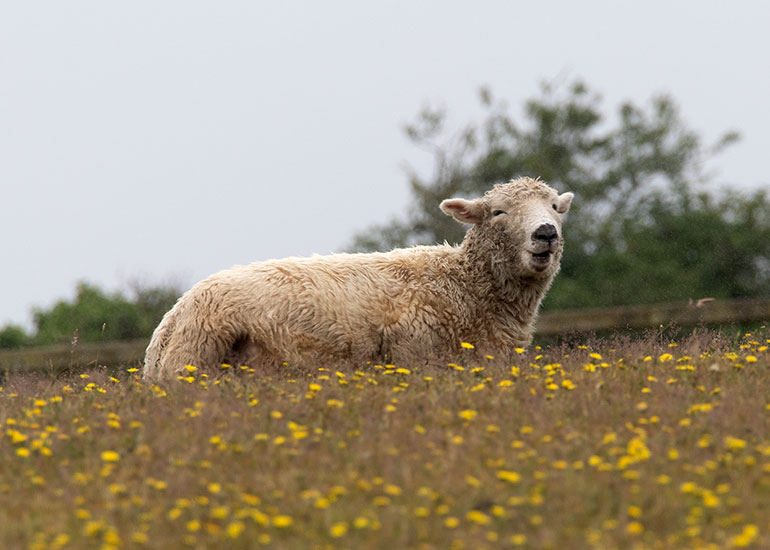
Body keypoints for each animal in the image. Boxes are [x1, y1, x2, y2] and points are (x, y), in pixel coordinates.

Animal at [143, 177, 574, 379]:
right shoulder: (415, 355)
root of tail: (170, 321)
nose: (545, 234)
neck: (463, 286)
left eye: (556, 207)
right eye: (499, 212)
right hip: (195, 361)